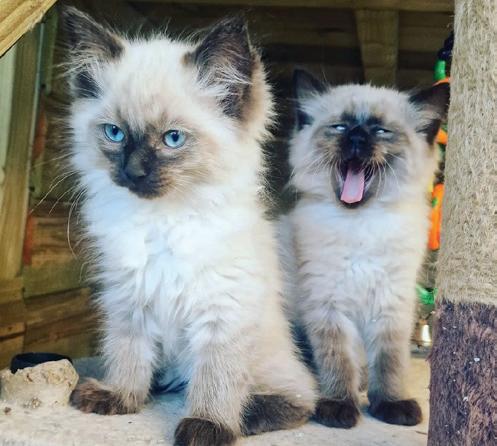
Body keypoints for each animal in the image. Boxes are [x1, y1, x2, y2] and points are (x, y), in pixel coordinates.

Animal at [62, 8, 317, 446]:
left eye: (173, 139)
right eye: (115, 133)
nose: (133, 172)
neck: (162, 220)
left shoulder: (222, 309)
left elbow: (216, 377)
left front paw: (208, 426)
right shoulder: (129, 297)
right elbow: (128, 353)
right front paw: (122, 397)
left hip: (269, 360)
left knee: (300, 396)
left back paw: (244, 417)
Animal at [281, 69, 449, 428]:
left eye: (381, 131)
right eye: (340, 127)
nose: (357, 138)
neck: (360, 225)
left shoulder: (391, 306)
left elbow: (389, 362)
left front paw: (391, 404)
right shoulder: (328, 306)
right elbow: (338, 359)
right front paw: (339, 407)